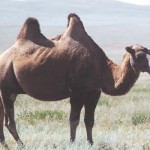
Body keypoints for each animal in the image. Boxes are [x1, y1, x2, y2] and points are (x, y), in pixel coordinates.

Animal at [0, 13, 150, 149]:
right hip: (6, 88)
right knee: (10, 121)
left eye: (147, 55)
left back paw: (6, 145)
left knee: (2, 117)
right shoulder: (77, 91)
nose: (148, 68)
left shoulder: (94, 92)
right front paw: (72, 143)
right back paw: (21, 145)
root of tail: (4, 56)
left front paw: (91, 143)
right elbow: (74, 120)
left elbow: (89, 120)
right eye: (139, 55)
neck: (102, 68)